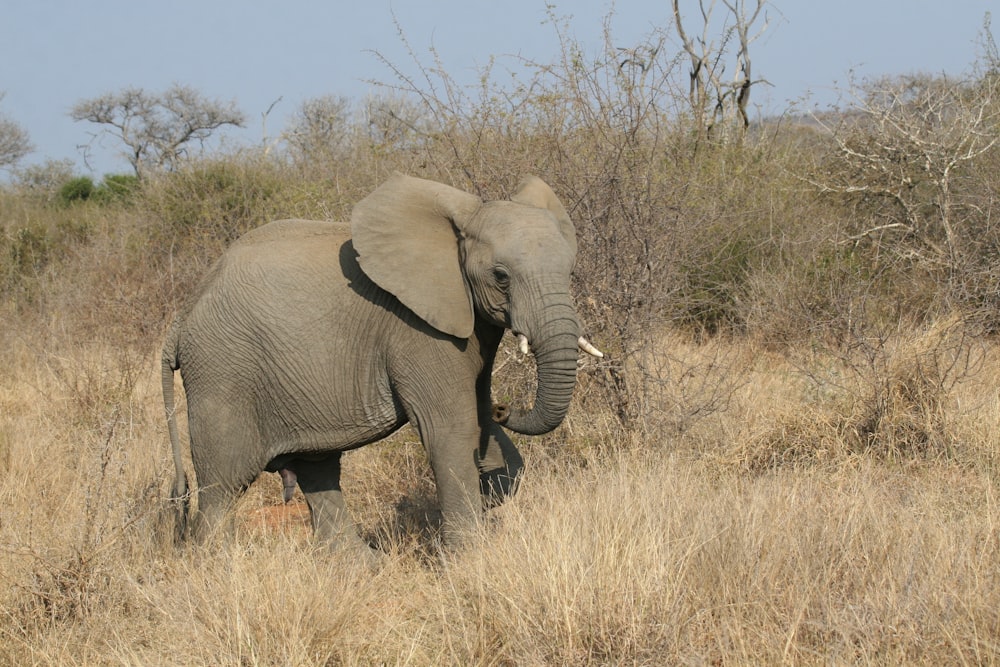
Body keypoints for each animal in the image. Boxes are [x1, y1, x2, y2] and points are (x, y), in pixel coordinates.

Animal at [162, 174, 600, 552]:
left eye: (570, 271)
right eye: (501, 276)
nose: (505, 407)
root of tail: (181, 318)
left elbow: (481, 426)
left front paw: (491, 487)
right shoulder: (416, 329)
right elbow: (451, 430)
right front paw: (471, 558)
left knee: (317, 470)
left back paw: (362, 569)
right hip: (222, 373)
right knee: (222, 486)